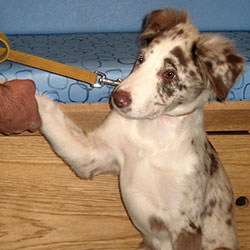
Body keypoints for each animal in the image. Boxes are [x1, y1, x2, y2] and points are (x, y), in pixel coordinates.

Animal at [36, 8, 243, 250]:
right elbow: (50, 113)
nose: (117, 98)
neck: (152, 137)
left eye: (169, 74)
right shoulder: (91, 155)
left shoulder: (186, 225)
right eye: (141, 59)